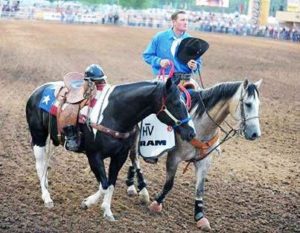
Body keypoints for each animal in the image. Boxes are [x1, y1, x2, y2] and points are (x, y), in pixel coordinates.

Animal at [25, 78, 195, 220]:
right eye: (176, 103)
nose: (191, 132)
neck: (115, 113)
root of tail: (37, 91)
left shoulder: (119, 157)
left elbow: (111, 183)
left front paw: (107, 211)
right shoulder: (94, 156)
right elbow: (104, 184)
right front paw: (88, 202)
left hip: (52, 138)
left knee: (46, 164)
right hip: (38, 136)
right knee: (40, 165)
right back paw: (47, 197)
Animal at [125, 80, 262, 231]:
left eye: (258, 105)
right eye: (248, 104)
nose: (255, 134)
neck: (200, 127)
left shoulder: (204, 162)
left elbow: (200, 190)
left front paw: (200, 216)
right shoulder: (174, 158)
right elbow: (169, 184)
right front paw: (156, 204)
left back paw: (131, 186)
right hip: (136, 136)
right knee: (134, 158)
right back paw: (142, 191)